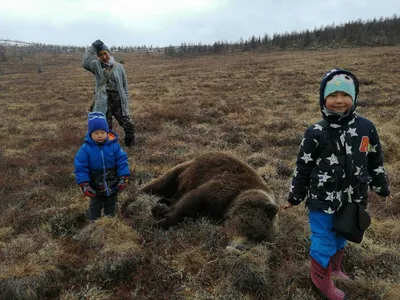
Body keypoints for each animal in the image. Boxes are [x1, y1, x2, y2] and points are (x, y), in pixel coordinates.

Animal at [140, 152, 278, 248]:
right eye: (251, 229)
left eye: (260, 239)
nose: (241, 247)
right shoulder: (223, 188)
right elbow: (191, 203)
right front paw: (159, 222)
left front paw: (161, 210)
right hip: (185, 171)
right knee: (163, 183)